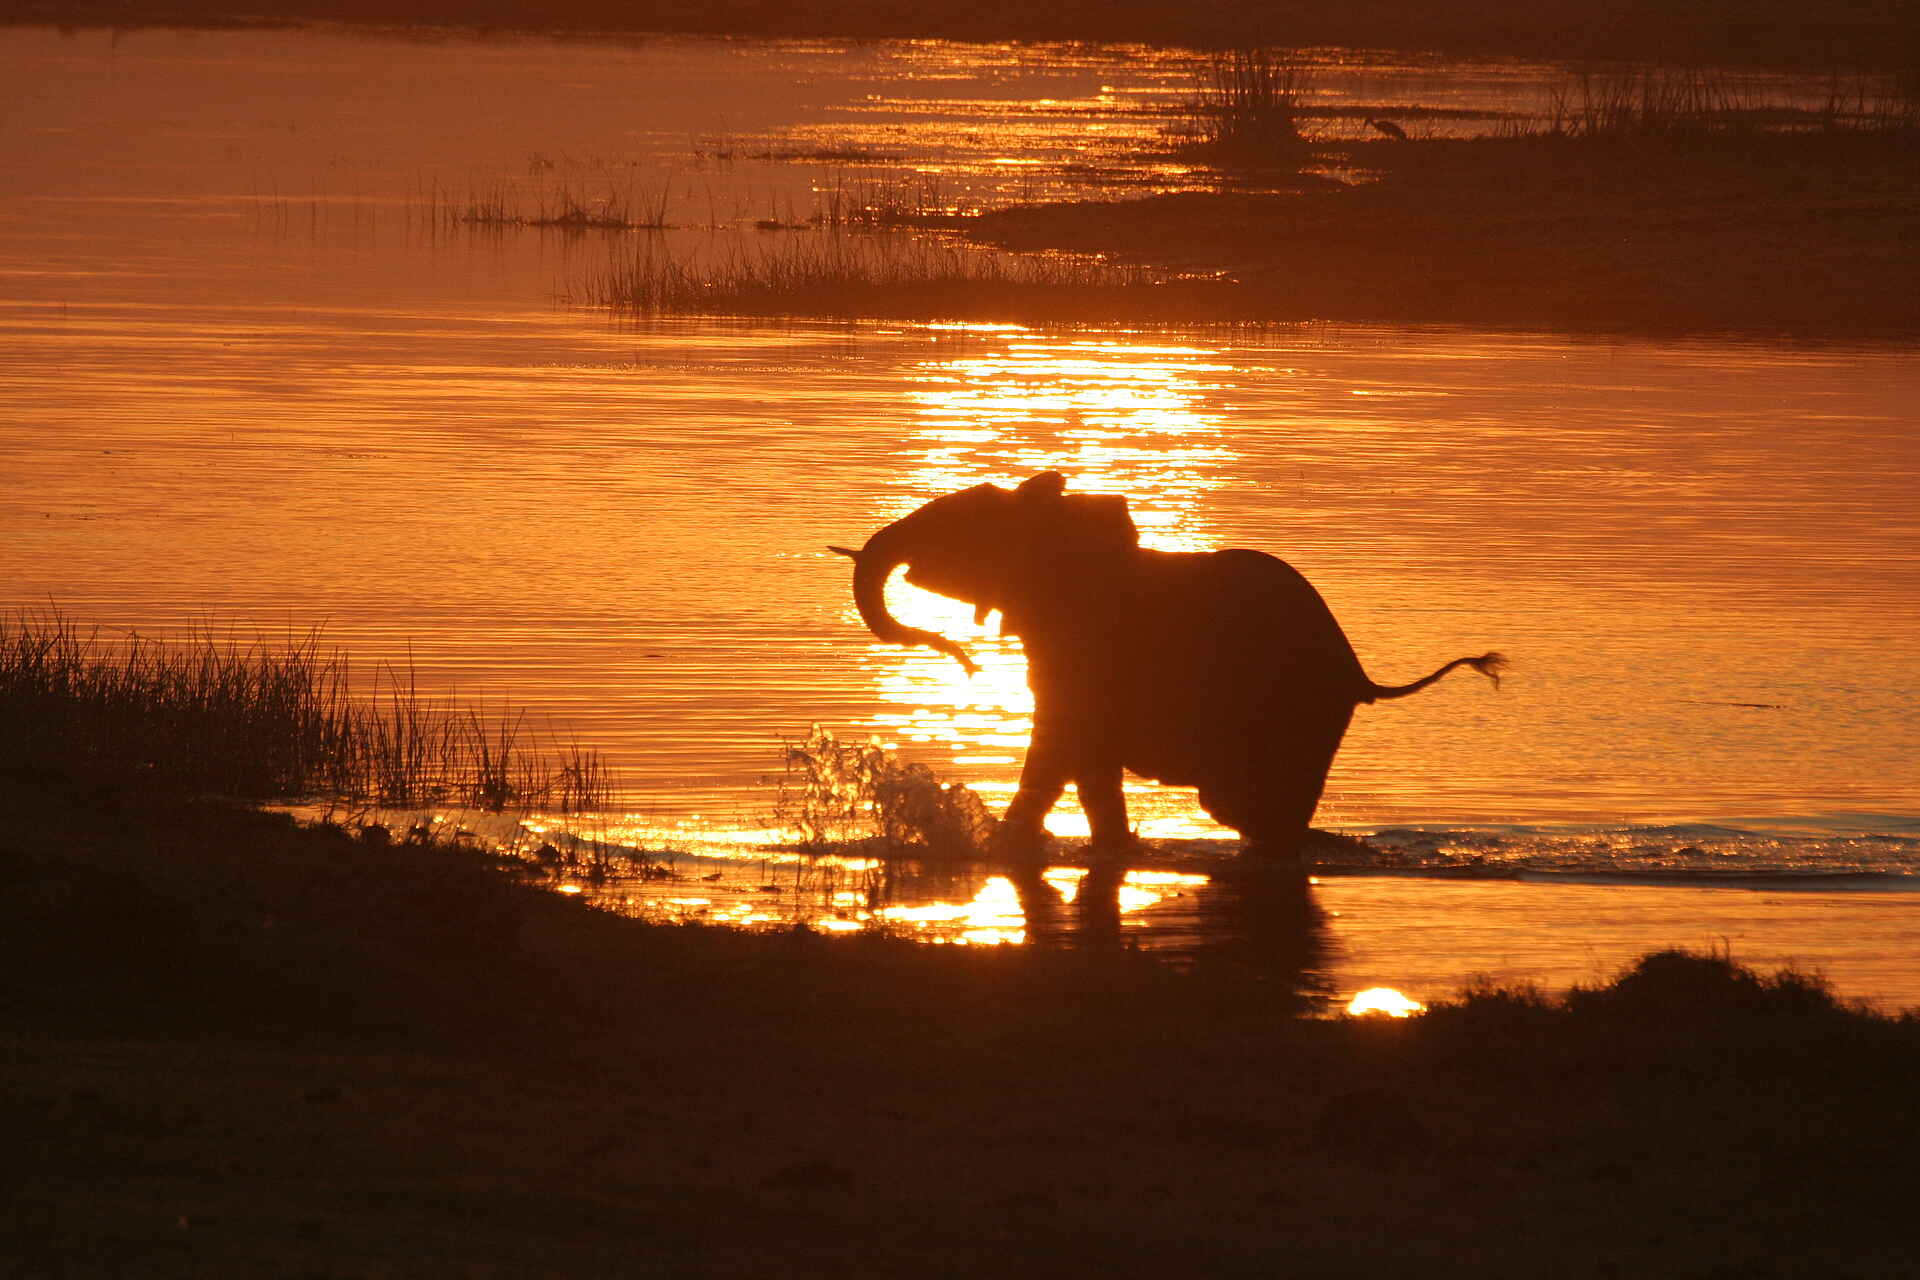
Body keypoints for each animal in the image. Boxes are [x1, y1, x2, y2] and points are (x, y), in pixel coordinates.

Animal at [831, 471, 1504, 865]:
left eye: (966, 524)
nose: (963, 662)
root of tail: (1361, 674)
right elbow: (1079, 762)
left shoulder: (1088, 648)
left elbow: (1061, 749)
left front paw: (996, 847)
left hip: (1291, 712)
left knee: (1243, 805)